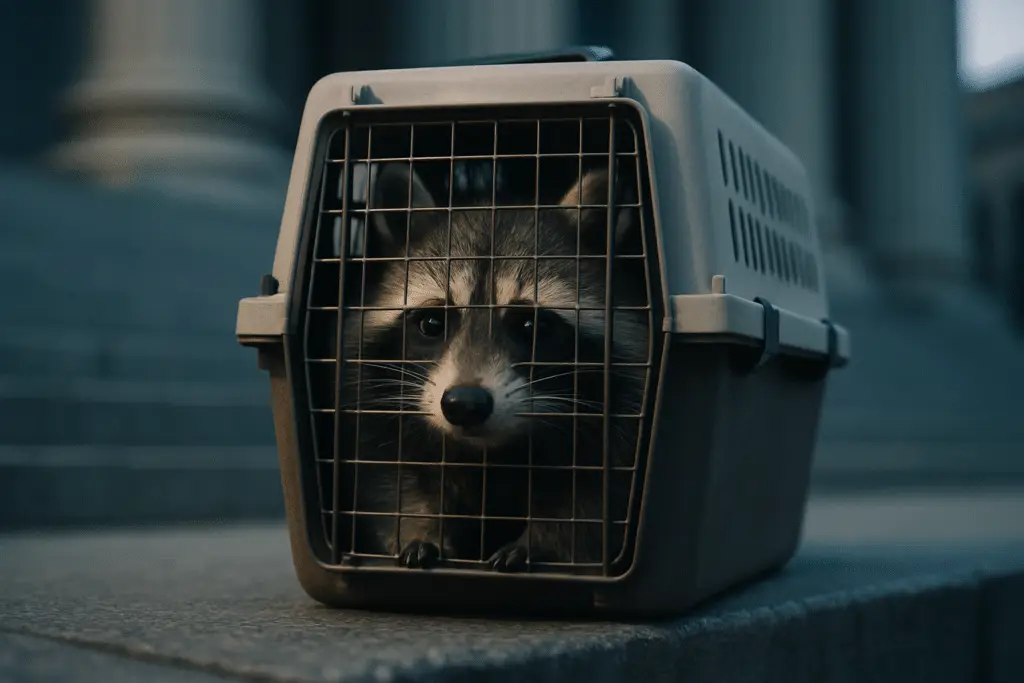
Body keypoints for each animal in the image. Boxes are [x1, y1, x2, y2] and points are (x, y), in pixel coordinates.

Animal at [337, 161, 650, 574]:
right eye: (432, 324)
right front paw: (421, 529)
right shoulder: (374, 406)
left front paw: (546, 543)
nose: (465, 404)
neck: (490, 451)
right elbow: (395, 483)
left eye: (529, 326)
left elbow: (593, 499)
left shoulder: (621, 406)